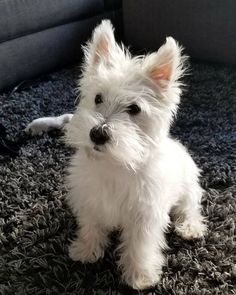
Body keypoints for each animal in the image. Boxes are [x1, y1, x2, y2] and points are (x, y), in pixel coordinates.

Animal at [26, 20, 206, 292]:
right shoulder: (90, 200)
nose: (97, 134)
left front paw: (140, 276)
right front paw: (86, 251)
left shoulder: (145, 215)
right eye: (98, 98)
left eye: (134, 108)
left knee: (190, 207)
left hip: (187, 186)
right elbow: (90, 226)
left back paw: (190, 228)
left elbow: (140, 246)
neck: (114, 163)